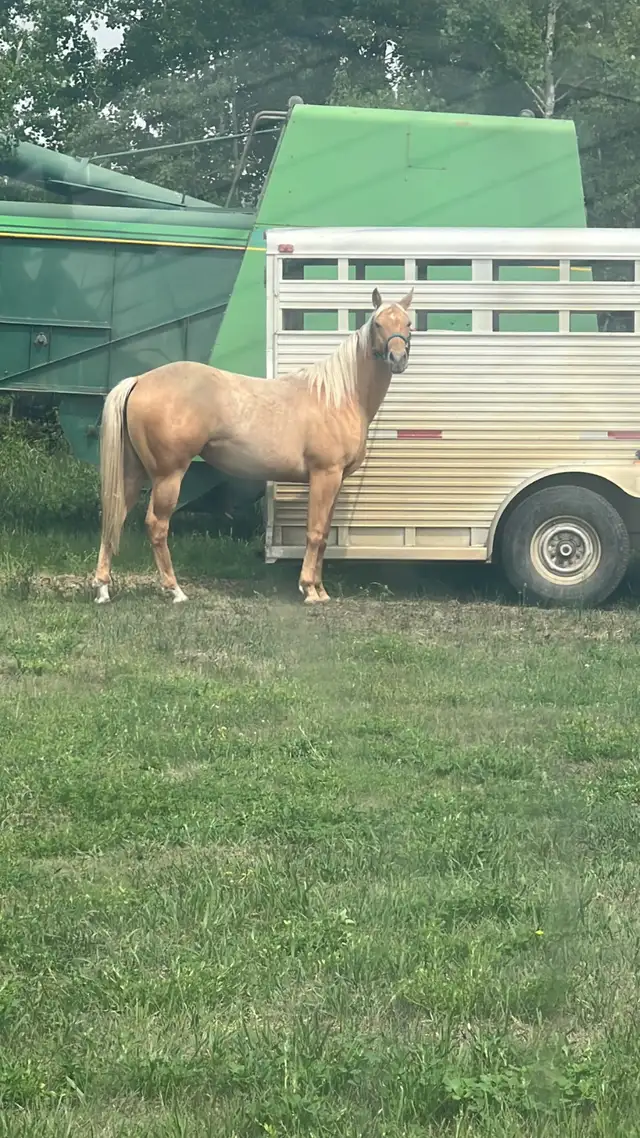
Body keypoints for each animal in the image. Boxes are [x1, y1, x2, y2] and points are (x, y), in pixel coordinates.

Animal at [93, 286, 413, 606]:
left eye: (408, 323)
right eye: (377, 323)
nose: (397, 358)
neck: (338, 395)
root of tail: (139, 380)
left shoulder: (335, 480)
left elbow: (322, 536)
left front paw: (321, 590)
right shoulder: (325, 475)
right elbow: (315, 532)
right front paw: (309, 589)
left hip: (133, 472)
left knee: (114, 517)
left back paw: (103, 588)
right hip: (168, 476)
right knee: (157, 526)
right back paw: (175, 590)